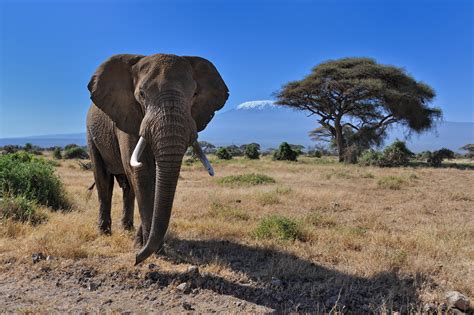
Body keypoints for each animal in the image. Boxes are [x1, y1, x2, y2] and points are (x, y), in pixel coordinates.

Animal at [88, 53, 231, 266]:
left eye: (194, 94)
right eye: (141, 94)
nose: (135, 259)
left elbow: (154, 177)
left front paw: (143, 243)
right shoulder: (127, 115)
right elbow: (142, 171)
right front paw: (152, 249)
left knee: (128, 188)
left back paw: (128, 230)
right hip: (91, 134)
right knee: (103, 180)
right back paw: (105, 233)